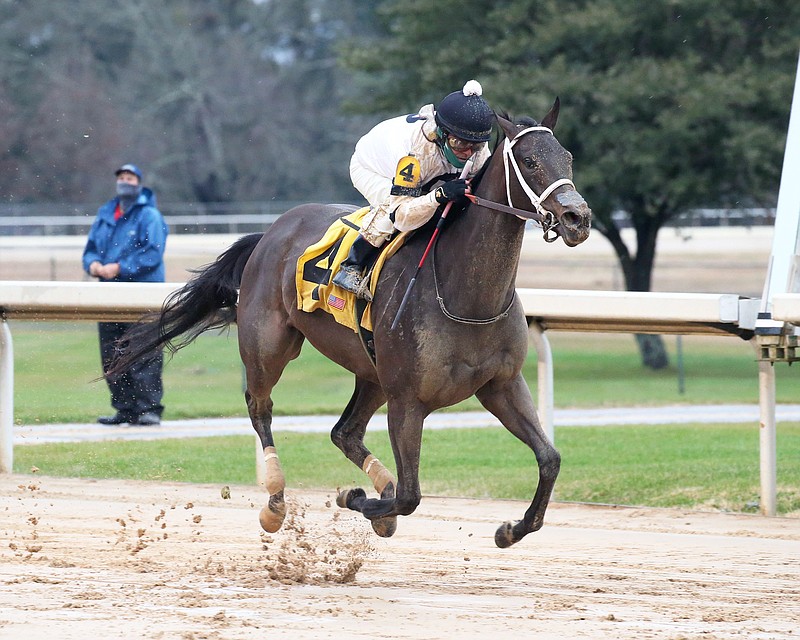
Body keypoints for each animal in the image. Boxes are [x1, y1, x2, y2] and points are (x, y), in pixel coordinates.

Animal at [120, 101, 592, 552]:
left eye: (567, 157)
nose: (577, 218)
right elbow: (410, 495)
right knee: (260, 407)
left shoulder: (501, 385)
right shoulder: (408, 400)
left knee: (343, 432)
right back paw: (275, 501)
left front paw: (511, 529)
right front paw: (357, 498)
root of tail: (271, 232)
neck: (466, 294)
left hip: (372, 372)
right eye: (529, 161)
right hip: (269, 346)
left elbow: (550, 459)